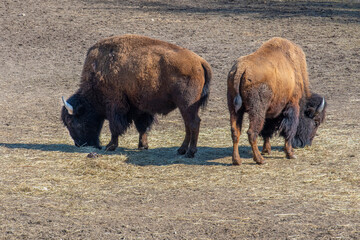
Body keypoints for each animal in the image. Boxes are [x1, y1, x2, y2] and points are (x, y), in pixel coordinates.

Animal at [61, 33, 211, 158]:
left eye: (71, 121)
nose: (78, 144)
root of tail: (199, 61)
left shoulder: (115, 105)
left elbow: (115, 127)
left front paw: (110, 146)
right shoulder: (139, 107)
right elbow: (142, 126)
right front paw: (143, 146)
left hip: (187, 105)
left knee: (193, 123)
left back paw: (190, 152)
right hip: (185, 107)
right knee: (188, 125)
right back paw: (181, 150)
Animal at [228, 37, 326, 165]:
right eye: (316, 122)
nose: (306, 144)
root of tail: (241, 69)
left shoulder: (270, 111)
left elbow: (267, 130)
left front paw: (267, 150)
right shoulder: (292, 105)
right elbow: (289, 130)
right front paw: (290, 154)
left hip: (234, 109)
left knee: (235, 132)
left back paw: (237, 160)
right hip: (256, 110)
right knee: (251, 132)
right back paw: (260, 160)